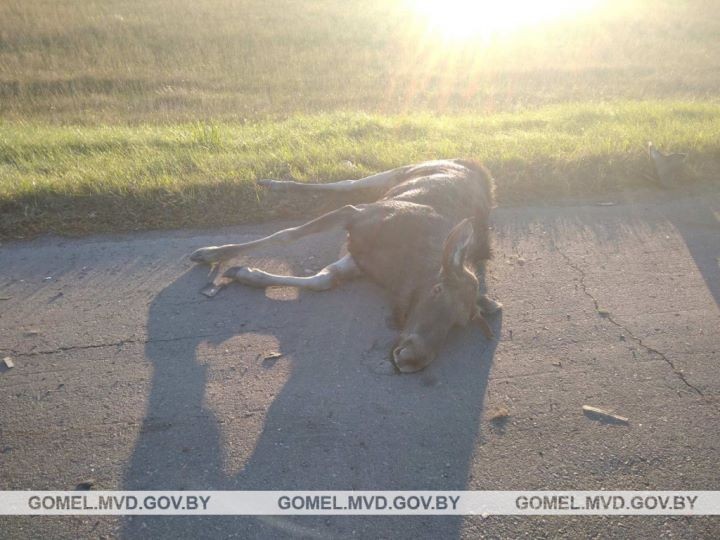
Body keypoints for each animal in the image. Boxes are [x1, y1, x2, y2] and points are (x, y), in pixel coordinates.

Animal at [190, 159, 502, 373]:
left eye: (459, 322)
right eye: (437, 289)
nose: (414, 358)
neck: (401, 273)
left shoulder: (361, 259)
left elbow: (323, 279)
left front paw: (245, 273)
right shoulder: (355, 215)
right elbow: (285, 235)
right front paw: (213, 253)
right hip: (402, 170)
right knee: (348, 182)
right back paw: (275, 183)